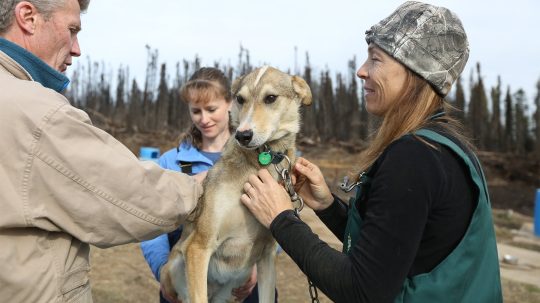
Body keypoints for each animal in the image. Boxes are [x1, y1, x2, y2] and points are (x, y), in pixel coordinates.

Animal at [160, 67, 312, 303]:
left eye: (270, 98)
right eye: (240, 99)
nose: (243, 135)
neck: (261, 161)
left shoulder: (267, 256)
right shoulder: (198, 246)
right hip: (176, 266)